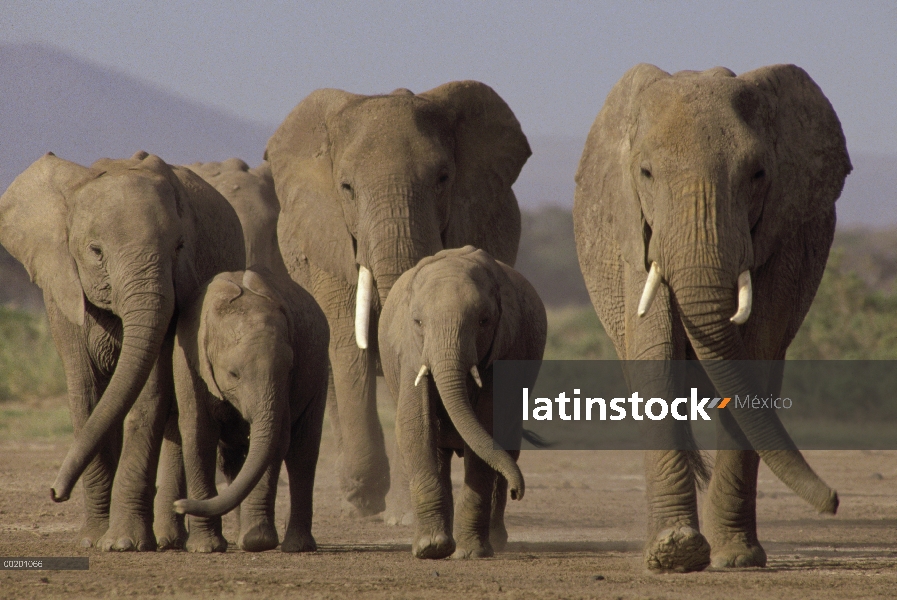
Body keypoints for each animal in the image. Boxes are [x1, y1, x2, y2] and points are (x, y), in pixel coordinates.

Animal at [0, 150, 245, 548]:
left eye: (179, 247)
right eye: (96, 251)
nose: (55, 492)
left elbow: (148, 396)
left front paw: (123, 543)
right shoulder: (64, 292)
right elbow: (87, 395)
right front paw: (92, 539)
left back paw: (168, 539)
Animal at [169, 268, 328, 552]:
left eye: (290, 369)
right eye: (234, 374)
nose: (178, 506)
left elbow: (277, 442)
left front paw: (257, 543)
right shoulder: (188, 360)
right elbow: (198, 436)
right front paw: (205, 548)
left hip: (320, 373)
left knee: (303, 453)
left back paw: (295, 546)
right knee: (231, 460)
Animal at [266, 82, 532, 516]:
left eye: (442, 178)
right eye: (347, 188)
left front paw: (404, 512)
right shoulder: (328, 242)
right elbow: (349, 345)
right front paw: (367, 497)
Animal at [378, 245, 544, 556]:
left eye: (484, 321)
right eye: (418, 322)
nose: (519, 491)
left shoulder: (507, 349)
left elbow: (489, 427)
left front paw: (470, 553)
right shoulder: (410, 350)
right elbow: (416, 425)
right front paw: (432, 549)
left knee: (507, 448)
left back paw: (495, 541)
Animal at [572, 64, 852, 572]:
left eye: (758, 174)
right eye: (645, 173)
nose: (835, 501)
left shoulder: (782, 238)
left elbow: (753, 357)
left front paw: (736, 559)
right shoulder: (636, 232)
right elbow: (654, 354)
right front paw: (675, 552)